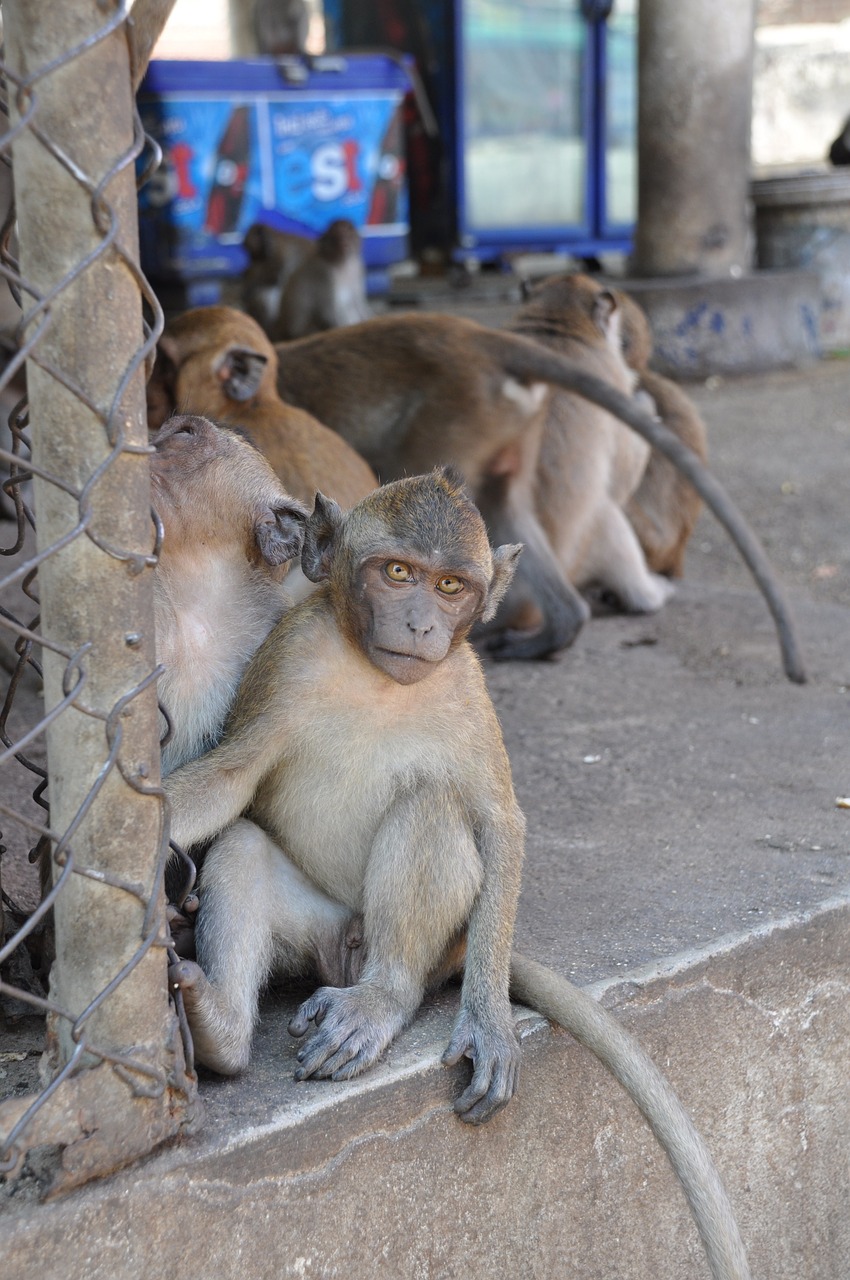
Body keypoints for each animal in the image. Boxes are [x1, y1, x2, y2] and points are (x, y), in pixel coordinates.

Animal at [167, 473, 752, 1280]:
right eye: (398, 573)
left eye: (450, 586)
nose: (420, 626)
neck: (376, 678)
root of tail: (347, 950)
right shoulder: (287, 659)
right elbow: (229, 785)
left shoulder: (469, 688)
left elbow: (499, 825)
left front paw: (488, 1022)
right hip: (316, 926)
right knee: (247, 848)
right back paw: (220, 1029)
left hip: (435, 943)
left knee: (432, 808)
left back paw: (381, 998)